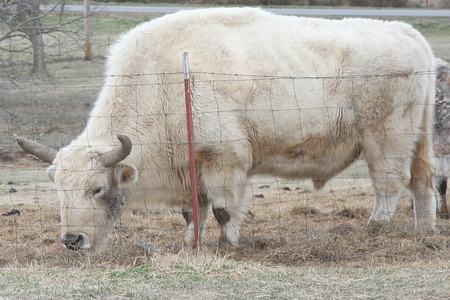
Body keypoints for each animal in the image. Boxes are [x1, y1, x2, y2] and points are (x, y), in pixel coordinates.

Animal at [17, 7, 436, 253]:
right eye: (58, 190)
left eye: (96, 188)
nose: (72, 240)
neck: (163, 81)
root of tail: (410, 35)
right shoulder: (190, 168)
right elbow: (193, 211)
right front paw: (191, 243)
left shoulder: (224, 161)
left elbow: (222, 209)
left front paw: (228, 243)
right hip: (417, 139)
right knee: (422, 181)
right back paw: (424, 232)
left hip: (386, 138)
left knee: (391, 182)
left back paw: (376, 228)